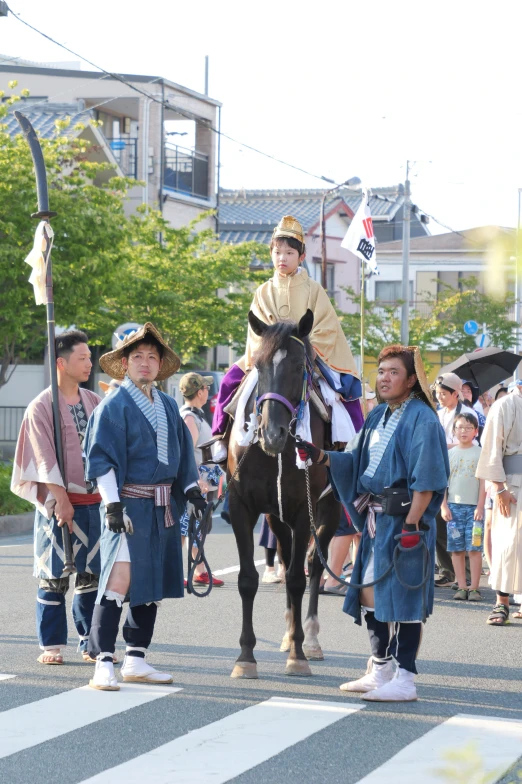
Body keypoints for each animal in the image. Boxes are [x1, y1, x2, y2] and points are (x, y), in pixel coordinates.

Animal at [225, 310, 340, 676]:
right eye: (258, 365)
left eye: (298, 366)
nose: (271, 433)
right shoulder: (242, 506)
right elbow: (248, 579)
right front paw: (246, 657)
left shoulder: (305, 510)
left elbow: (297, 580)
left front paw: (299, 655)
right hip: (276, 517)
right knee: (289, 557)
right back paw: (290, 634)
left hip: (329, 509)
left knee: (313, 565)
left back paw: (310, 639)